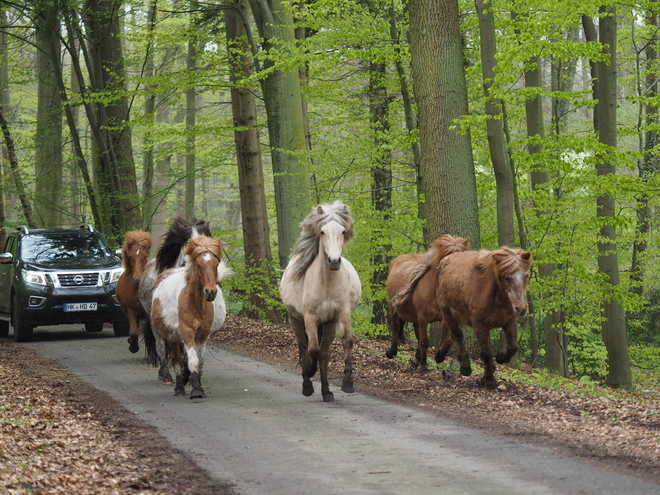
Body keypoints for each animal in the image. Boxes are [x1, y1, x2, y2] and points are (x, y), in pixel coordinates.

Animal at [150, 236, 231, 400]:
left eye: (215, 264)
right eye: (198, 265)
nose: (210, 292)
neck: (195, 303)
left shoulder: (202, 335)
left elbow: (199, 361)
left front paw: (199, 385)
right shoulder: (186, 332)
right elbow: (192, 360)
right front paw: (196, 390)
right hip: (172, 336)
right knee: (176, 359)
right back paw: (179, 387)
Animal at [278, 202, 360, 404]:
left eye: (343, 231)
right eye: (322, 232)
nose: (334, 261)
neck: (327, 283)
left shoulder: (342, 314)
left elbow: (346, 341)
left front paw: (348, 383)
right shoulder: (310, 318)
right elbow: (312, 349)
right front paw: (308, 372)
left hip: (329, 324)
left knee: (324, 355)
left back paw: (326, 392)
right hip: (295, 320)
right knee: (304, 348)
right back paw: (307, 385)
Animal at [384, 234, 472, 370]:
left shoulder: (447, 318)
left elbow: (448, 341)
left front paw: (439, 356)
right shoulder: (422, 317)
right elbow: (425, 341)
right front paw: (424, 365)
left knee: (416, 332)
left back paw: (418, 356)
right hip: (394, 308)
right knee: (395, 327)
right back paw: (392, 352)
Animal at [436, 246, 532, 390]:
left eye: (526, 275)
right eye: (507, 278)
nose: (521, 309)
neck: (497, 298)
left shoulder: (509, 321)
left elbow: (512, 347)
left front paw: (500, 358)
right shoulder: (480, 326)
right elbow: (486, 353)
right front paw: (490, 380)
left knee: (451, 337)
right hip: (447, 312)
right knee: (457, 335)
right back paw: (465, 366)